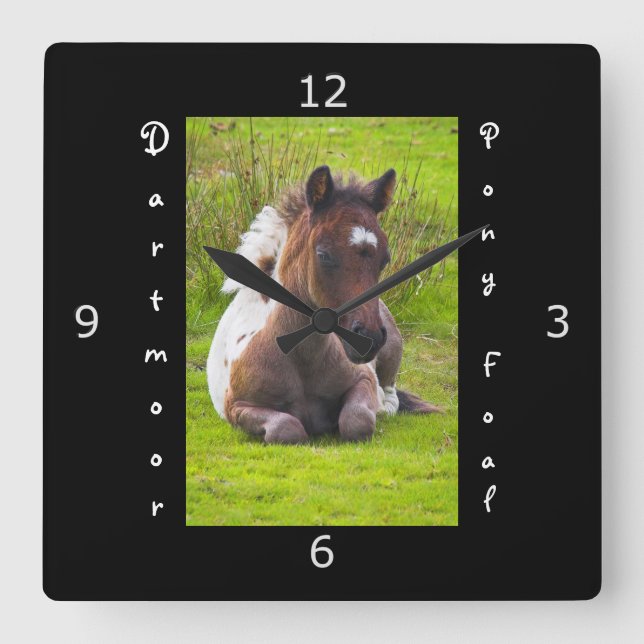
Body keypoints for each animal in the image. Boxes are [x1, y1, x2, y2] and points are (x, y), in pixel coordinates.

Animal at [207, 165, 440, 444]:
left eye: (385, 259)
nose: (369, 337)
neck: (302, 360)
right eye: (323, 255)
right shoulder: (237, 407)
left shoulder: (363, 379)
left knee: (390, 393)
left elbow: (357, 420)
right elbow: (286, 428)